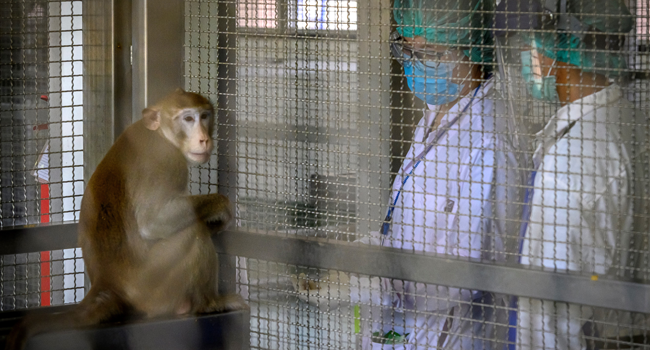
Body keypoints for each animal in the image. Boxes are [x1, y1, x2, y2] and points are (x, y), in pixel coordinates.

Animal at [5, 88, 247, 350]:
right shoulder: (167, 159)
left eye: (204, 116)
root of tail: (107, 284)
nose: (203, 139)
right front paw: (221, 207)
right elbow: (154, 220)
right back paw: (209, 303)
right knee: (193, 233)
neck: (160, 133)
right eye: (188, 119)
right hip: (152, 286)